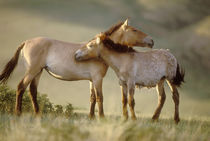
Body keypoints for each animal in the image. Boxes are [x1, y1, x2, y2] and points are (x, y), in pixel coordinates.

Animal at [0, 19, 154, 117]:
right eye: (134, 30)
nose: (151, 41)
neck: (96, 51)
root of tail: (26, 42)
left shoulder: (92, 80)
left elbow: (92, 98)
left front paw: (91, 117)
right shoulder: (97, 79)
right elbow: (100, 97)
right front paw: (101, 117)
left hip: (38, 72)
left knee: (32, 91)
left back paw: (38, 114)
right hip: (32, 71)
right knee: (21, 87)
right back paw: (18, 113)